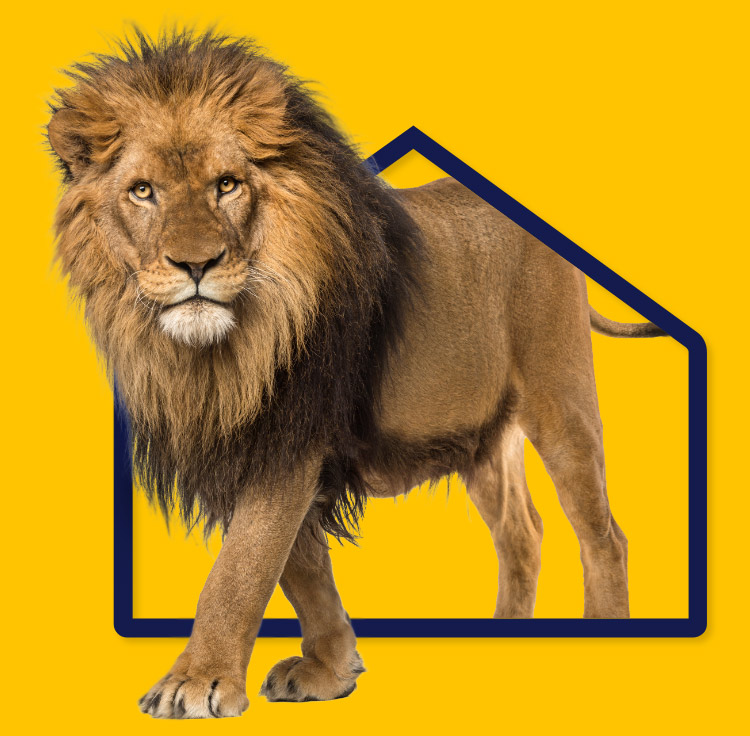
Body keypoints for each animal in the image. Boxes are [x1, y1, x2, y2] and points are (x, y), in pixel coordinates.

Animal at [47, 30, 666, 718]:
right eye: (142, 191)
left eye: (227, 184)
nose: (196, 265)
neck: (215, 355)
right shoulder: (251, 443)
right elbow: (302, 569)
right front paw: (331, 671)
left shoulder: (289, 435)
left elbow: (242, 568)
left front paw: (198, 681)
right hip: (481, 437)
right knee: (521, 535)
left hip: (561, 404)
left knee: (604, 535)